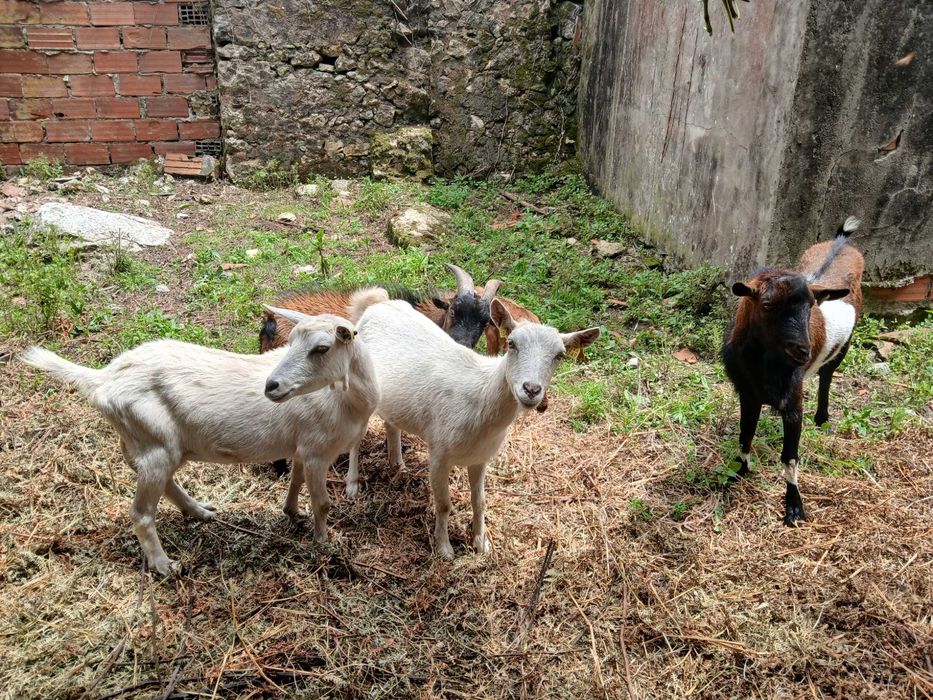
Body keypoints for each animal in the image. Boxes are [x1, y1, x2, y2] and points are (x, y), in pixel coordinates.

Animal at [21, 312, 379, 575]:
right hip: (155, 444)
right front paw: (323, 542)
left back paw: (200, 512)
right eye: (289, 342)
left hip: (152, 443)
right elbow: (323, 503)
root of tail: (102, 379)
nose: (272, 386)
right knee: (141, 513)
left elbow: (295, 480)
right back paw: (164, 565)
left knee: (166, 483)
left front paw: (292, 512)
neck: (347, 399)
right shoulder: (319, 451)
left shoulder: (303, 447)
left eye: (322, 348)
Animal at [347, 292, 599, 559]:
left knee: (391, 424)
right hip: (359, 386)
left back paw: (398, 467)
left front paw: (481, 543)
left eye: (559, 355)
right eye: (512, 344)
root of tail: (373, 304)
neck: (481, 400)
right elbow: (443, 504)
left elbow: (480, 502)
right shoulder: (439, 452)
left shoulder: (481, 457)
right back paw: (352, 485)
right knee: (355, 436)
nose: (531, 390)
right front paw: (444, 548)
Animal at [722, 216, 863, 527]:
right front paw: (738, 472)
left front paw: (794, 506)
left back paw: (822, 418)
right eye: (766, 305)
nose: (803, 352)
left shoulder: (793, 403)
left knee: (827, 376)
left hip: (843, 348)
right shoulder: (747, 394)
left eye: (811, 306)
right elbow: (745, 434)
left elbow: (790, 456)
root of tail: (842, 243)